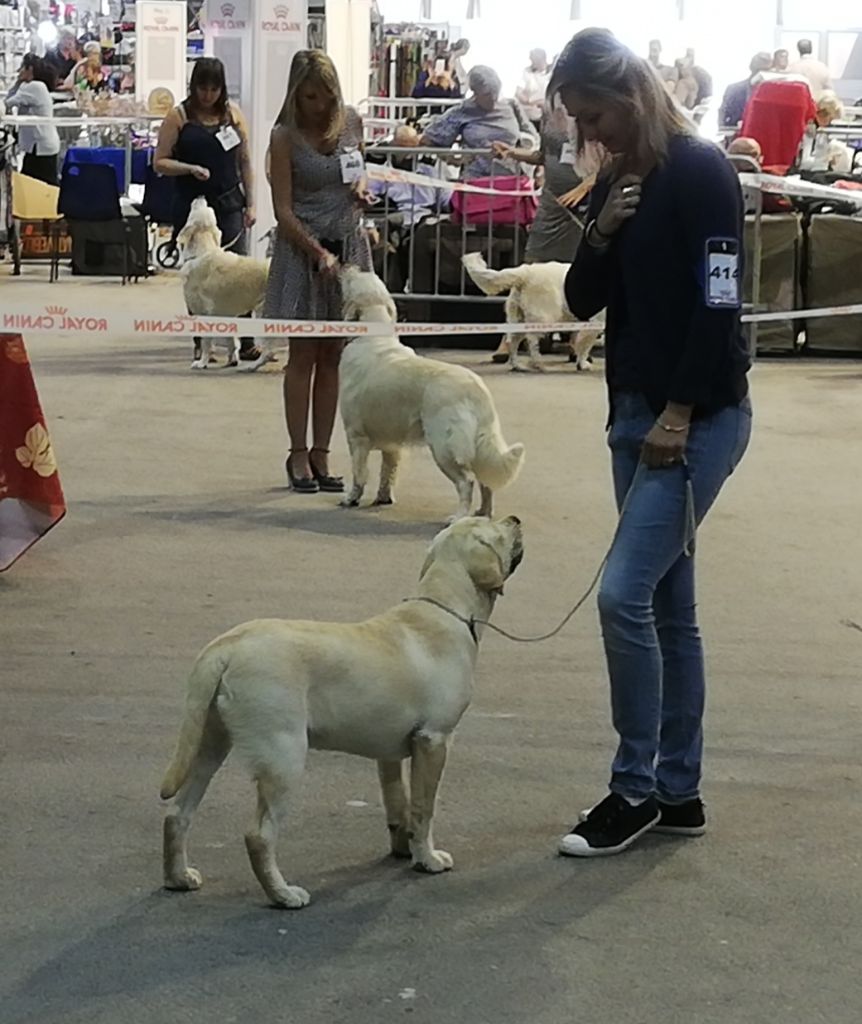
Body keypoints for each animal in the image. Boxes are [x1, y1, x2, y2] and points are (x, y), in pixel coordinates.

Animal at [160, 516, 524, 909]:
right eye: (495, 526)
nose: (515, 519)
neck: (448, 608)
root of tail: (226, 647)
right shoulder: (434, 739)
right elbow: (424, 808)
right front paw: (427, 859)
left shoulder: (390, 750)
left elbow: (399, 804)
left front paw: (403, 849)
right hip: (283, 755)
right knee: (258, 835)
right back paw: (284, 894)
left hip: (208, 743)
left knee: (176, 815)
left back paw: (178, 878)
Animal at [175, 194, 268, 368]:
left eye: (203, 207)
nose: (201, 195)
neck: (202, 251)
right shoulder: (225, 314)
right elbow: (230, 340)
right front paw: (233, 359)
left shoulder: (204, 312)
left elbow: (206, 342)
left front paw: (202, 362)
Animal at [335, 266, 524, 520]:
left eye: (352, 280)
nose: (348, 266)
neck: (373, 336)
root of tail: (476, 389)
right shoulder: (391, 443)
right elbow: (388, 472)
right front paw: (383, 498)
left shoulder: (356, 436)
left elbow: (359, 473)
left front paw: (351, 498)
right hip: (477, 443)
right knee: (485, 481)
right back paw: (482, 513)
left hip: (443, 446)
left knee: (467, 482)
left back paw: (459, 517)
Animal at [460, 253, 601, 374]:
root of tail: (525, 271)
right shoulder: (594, 324)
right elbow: (585, 347)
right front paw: (582, 364)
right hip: (542, 318)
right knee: (532, 341)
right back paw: (537, 363)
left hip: (518, 318)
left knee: (513, 342)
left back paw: (517, 366)